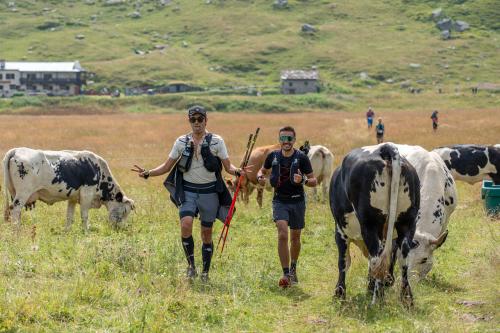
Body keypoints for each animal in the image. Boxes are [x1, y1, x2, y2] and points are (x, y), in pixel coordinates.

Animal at [2, 148, 135, 231]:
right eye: (125, 211)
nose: (121, 228)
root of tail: (16, 150)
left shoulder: (73, 198)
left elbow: (69, 217)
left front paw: (67, 231)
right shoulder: (87, 194)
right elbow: (84, 216)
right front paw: (86, 231)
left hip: (14, 193)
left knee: (16, 212)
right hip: (23, 193)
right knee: (15, 210)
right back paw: (17, 231)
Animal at [330, 141, 420, 304]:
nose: (389, 281)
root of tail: (384, 148)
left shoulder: (340, 231)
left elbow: (343, 262)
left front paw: (340, 293)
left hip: (370, 225)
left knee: (376, 257)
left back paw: (376, 300)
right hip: (407, 222)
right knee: (403, 258)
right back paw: (406, 299)